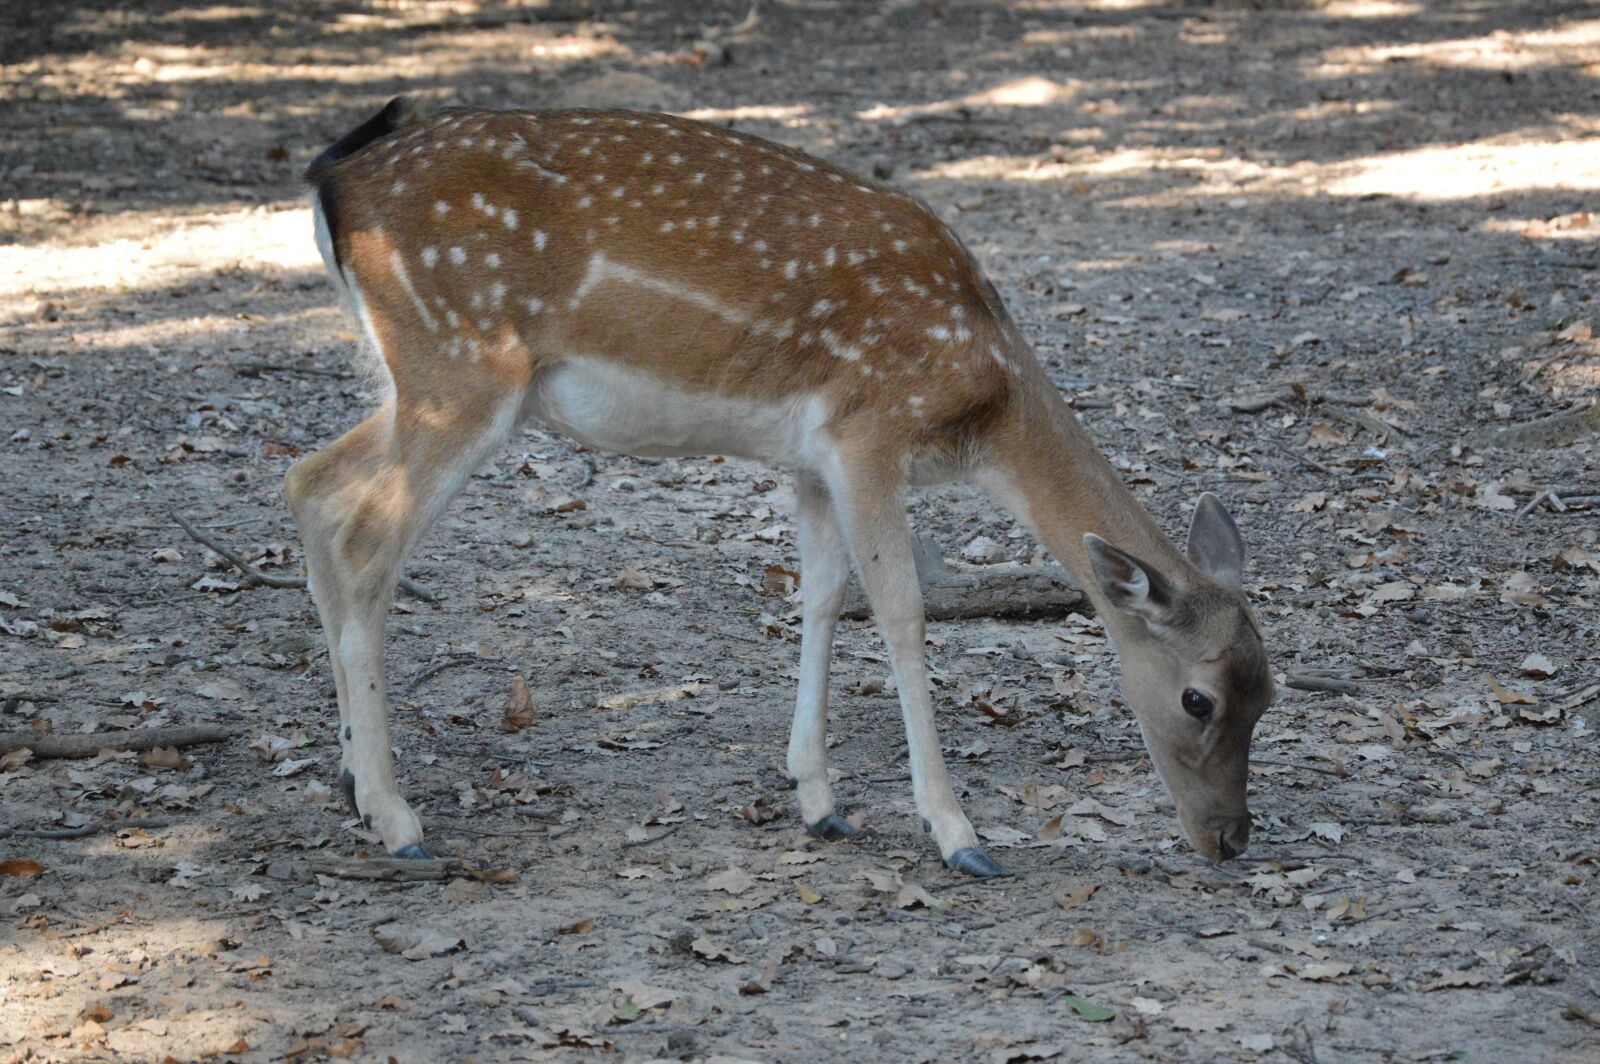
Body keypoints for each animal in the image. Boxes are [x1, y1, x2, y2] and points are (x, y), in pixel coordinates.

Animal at [286, 97, 1275, 877]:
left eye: (1270, 693)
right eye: (1199, 699)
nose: (1230, 838)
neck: (984, 403)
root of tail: (334, 181)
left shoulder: (809, 457)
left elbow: (821, 596)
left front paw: (819, 800)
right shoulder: (870, 428)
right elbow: (902, 611)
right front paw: (958, 832)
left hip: (422, 380)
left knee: (311, 482)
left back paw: (348, 779)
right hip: (460, 363)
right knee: (365, 538)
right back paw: (397, 818)